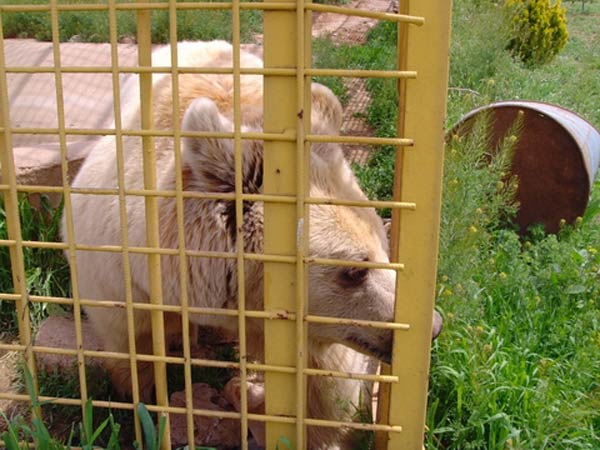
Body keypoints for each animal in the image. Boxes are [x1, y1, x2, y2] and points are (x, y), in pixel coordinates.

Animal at [63, 40, 438, 448]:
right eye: (354, 270)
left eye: (384, 247)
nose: (434, 324)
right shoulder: (117, 273)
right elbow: (133, 346)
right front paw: (141, 406)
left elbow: (324, 385)